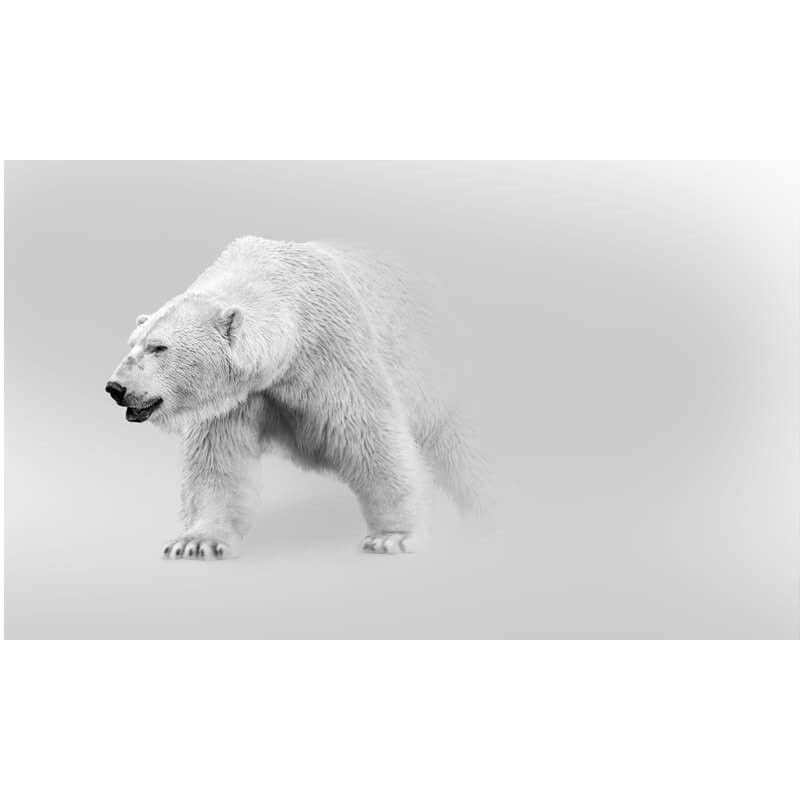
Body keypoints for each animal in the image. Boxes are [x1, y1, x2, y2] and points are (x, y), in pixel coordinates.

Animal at [106, 236, 484, 558]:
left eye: (159, 347)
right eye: (132, 344)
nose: (115, 388)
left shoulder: (333, 352)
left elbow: (369, 435)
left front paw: (393, 537)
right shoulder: (236, 396)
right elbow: (217, 459)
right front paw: (197, 542)